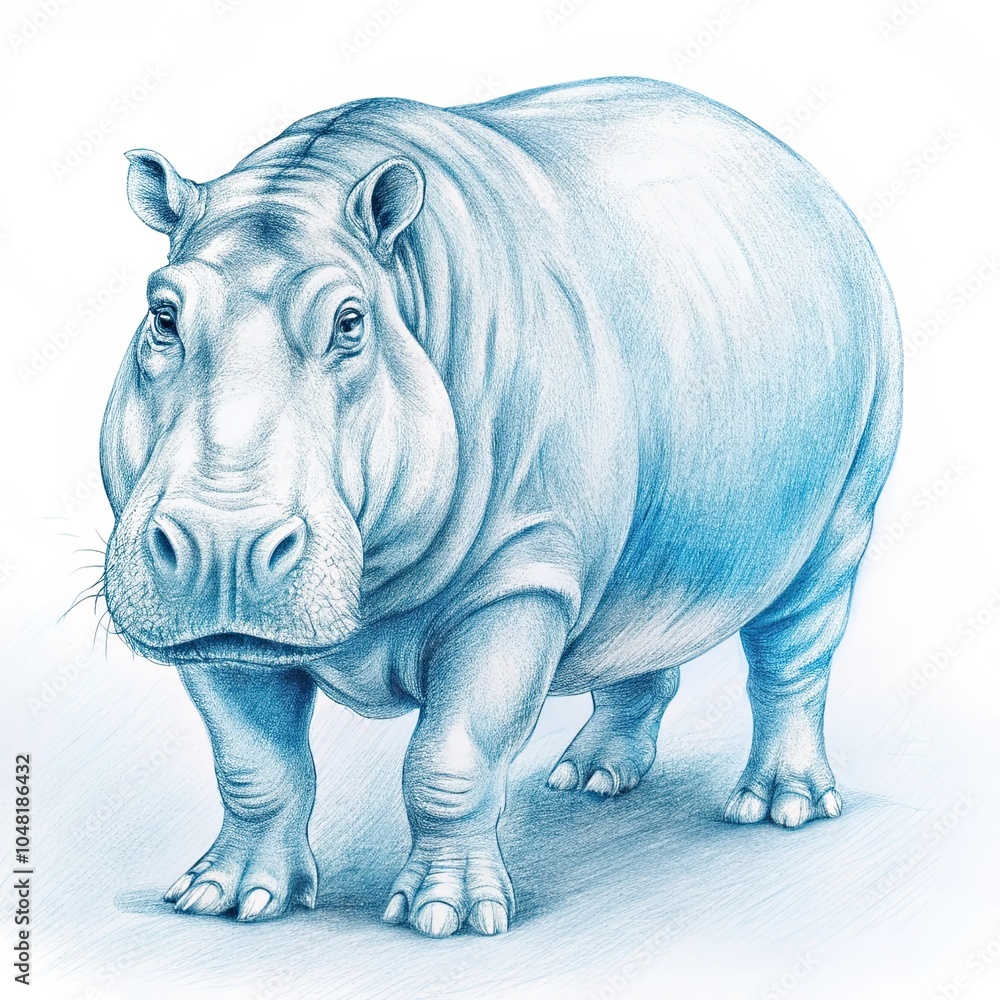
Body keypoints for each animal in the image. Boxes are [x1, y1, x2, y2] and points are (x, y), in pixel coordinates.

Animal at [101, 76, 902, 938]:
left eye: (350, 323)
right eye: (162, 316)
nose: (222, 543)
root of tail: (807, 176)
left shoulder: (522, 573)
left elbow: (452, 756)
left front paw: (445, 919)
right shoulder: (209, 625)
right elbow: (254, 762)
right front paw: (223, 900)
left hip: (853, 466)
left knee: (802, 625)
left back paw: (778, 809)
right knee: (640, 612)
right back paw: (587, 780)